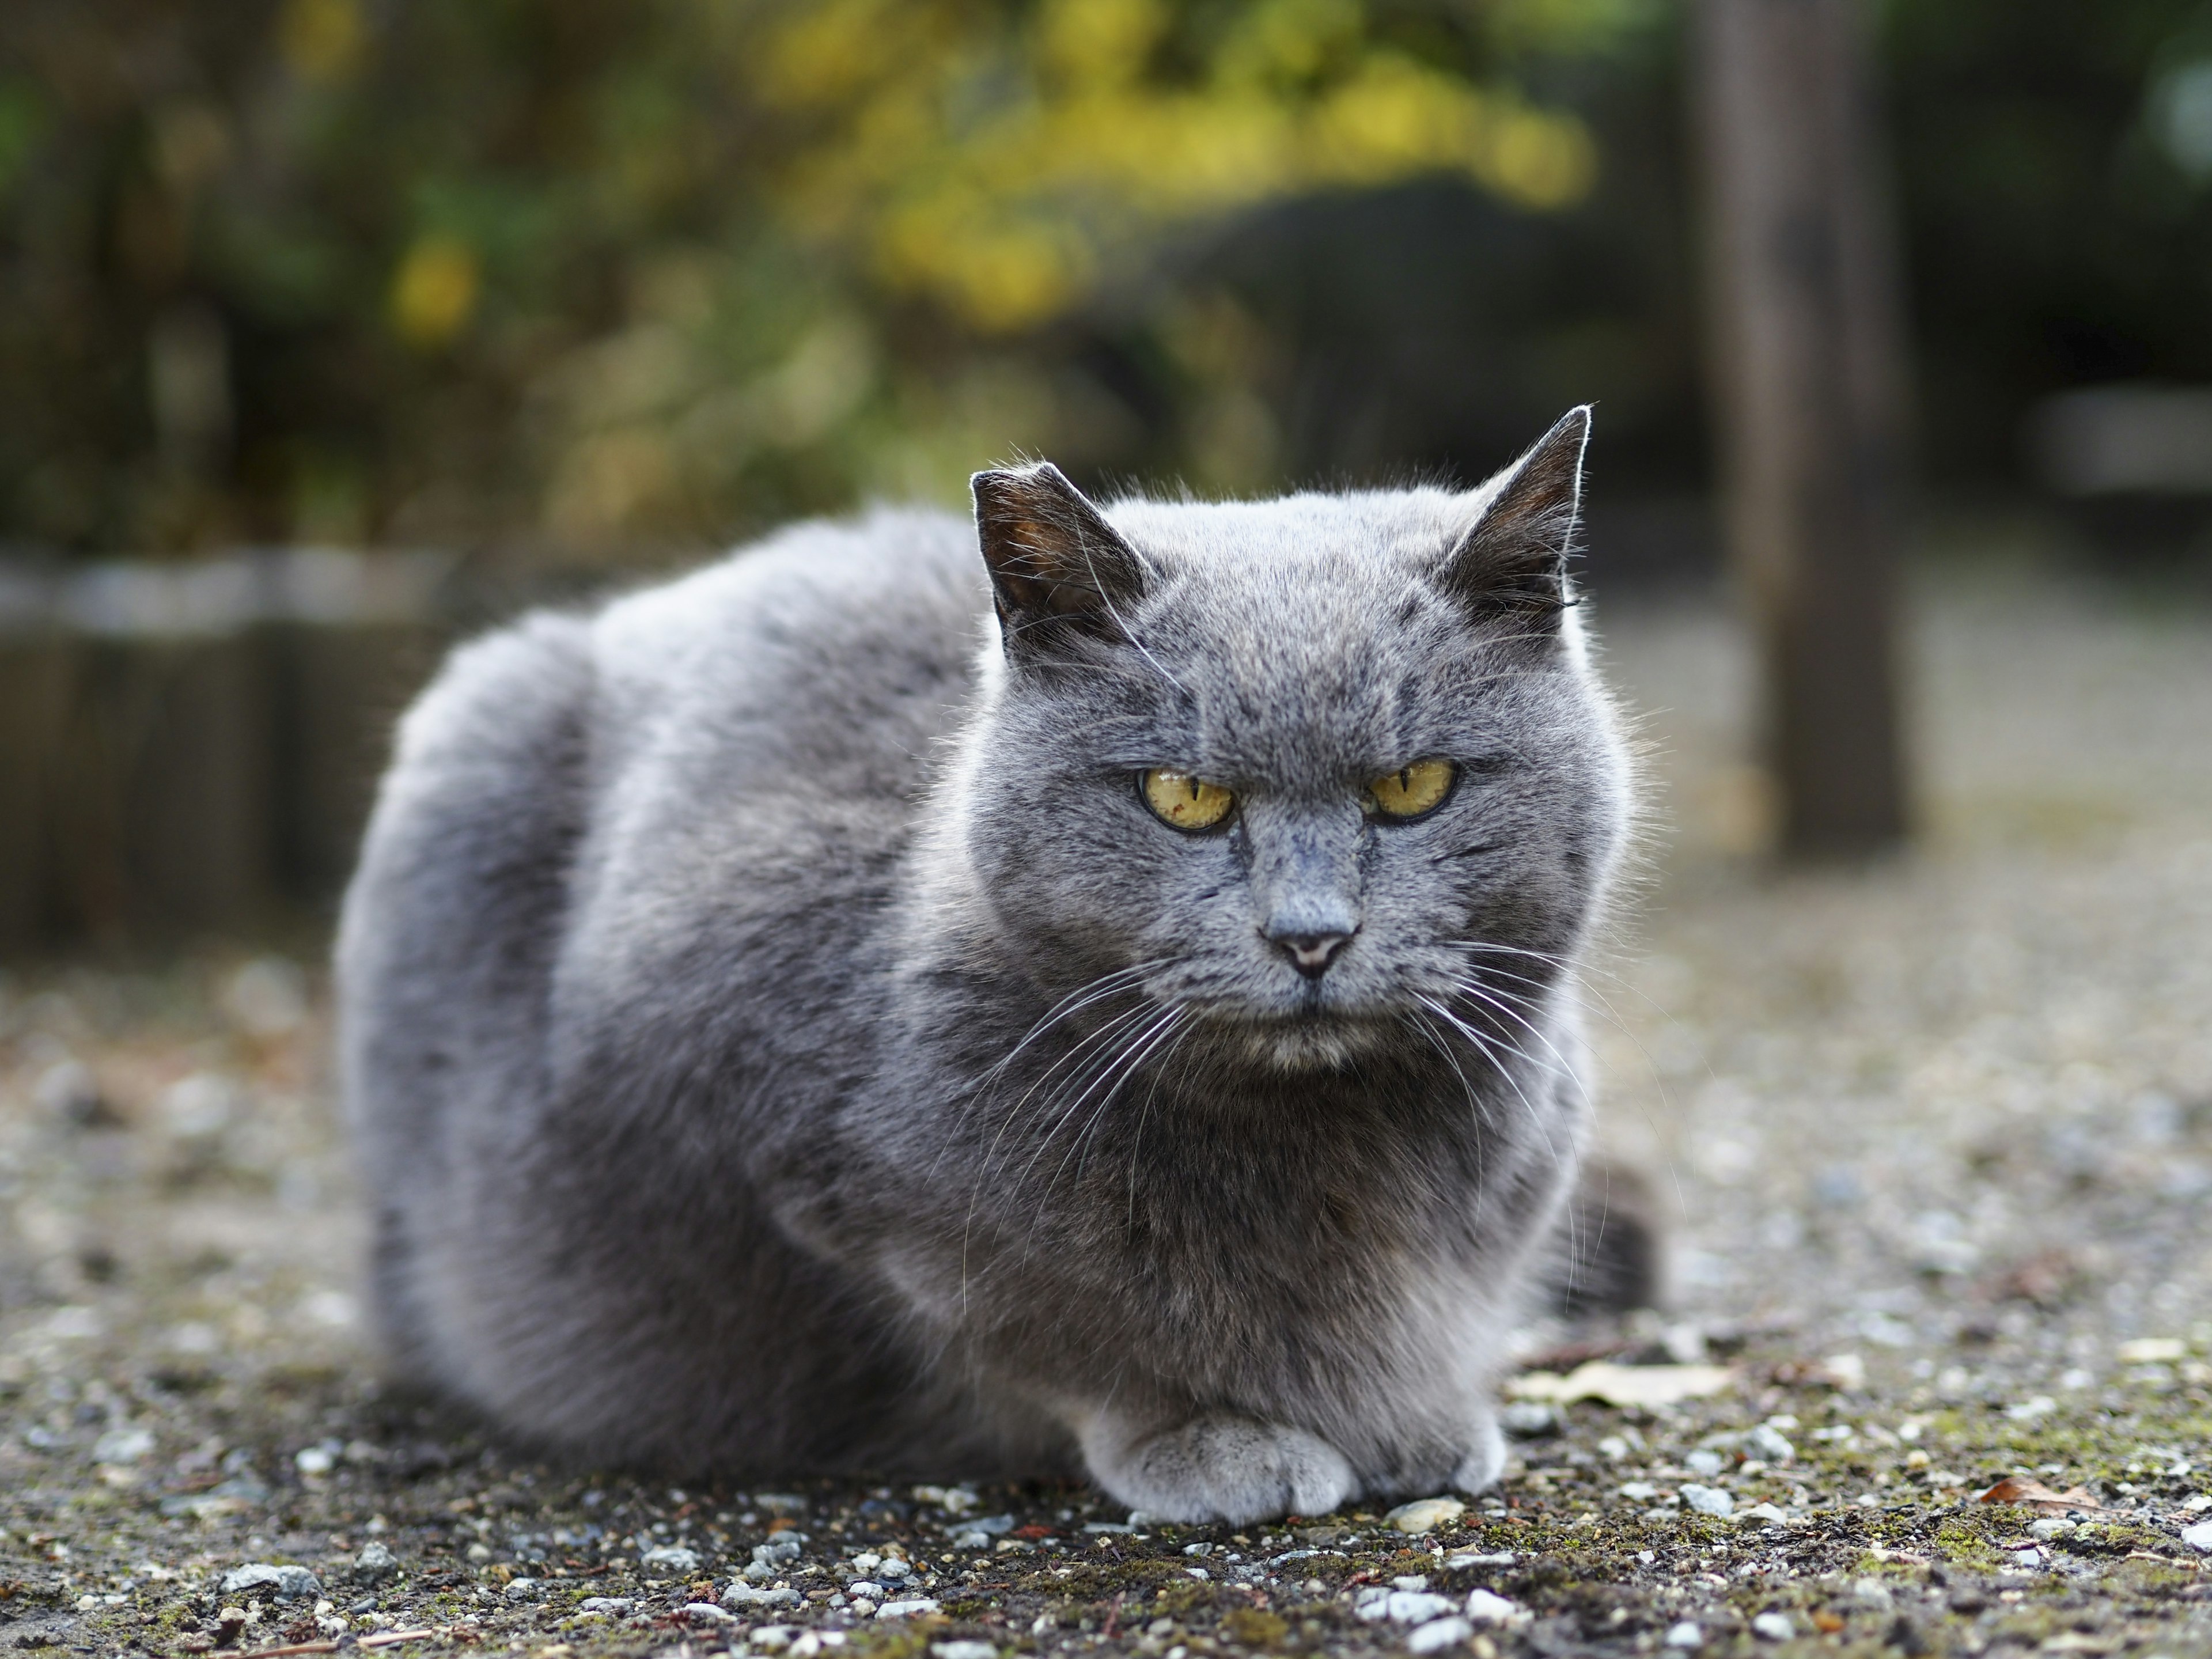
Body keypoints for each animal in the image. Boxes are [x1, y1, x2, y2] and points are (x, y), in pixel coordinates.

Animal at [332, 409, 1645, 1531]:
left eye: (1413, 787)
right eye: (1185, 797)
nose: (1310, 935)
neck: (1327, 1142)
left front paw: (1420, 1425)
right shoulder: (742, 1099)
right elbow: (1056, 1326)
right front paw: (1216, 1440)